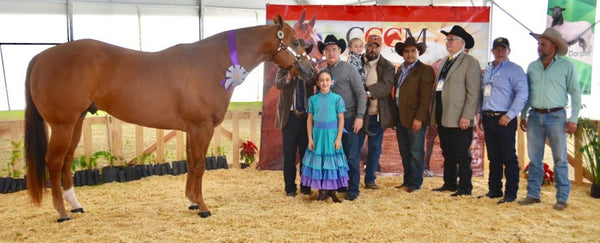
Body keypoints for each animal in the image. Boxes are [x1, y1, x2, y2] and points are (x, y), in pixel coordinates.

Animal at [23, 14, 314, 222]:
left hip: (77, 122)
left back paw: (75, 206)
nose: (310, 69)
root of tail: (42, 56)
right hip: (63, 124)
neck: (212, 63)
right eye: (295, 42)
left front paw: (192, 201)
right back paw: (61, 213)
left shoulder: (190, 129)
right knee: (53, 162)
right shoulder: (201, 127)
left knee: (66, 161)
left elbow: (191, 163)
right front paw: (203, 207)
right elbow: (199, 164)